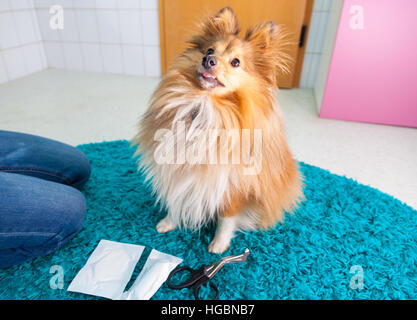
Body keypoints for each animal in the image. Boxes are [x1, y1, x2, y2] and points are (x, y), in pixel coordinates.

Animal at [133, 6, 302, 254]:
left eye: (235, 62)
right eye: (209, 50)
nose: (208, 60)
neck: (203, 107)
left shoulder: (232, 187)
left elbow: (226, 218)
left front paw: (219, 244)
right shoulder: (175, 170)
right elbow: (176, 197)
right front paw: (169, 222)